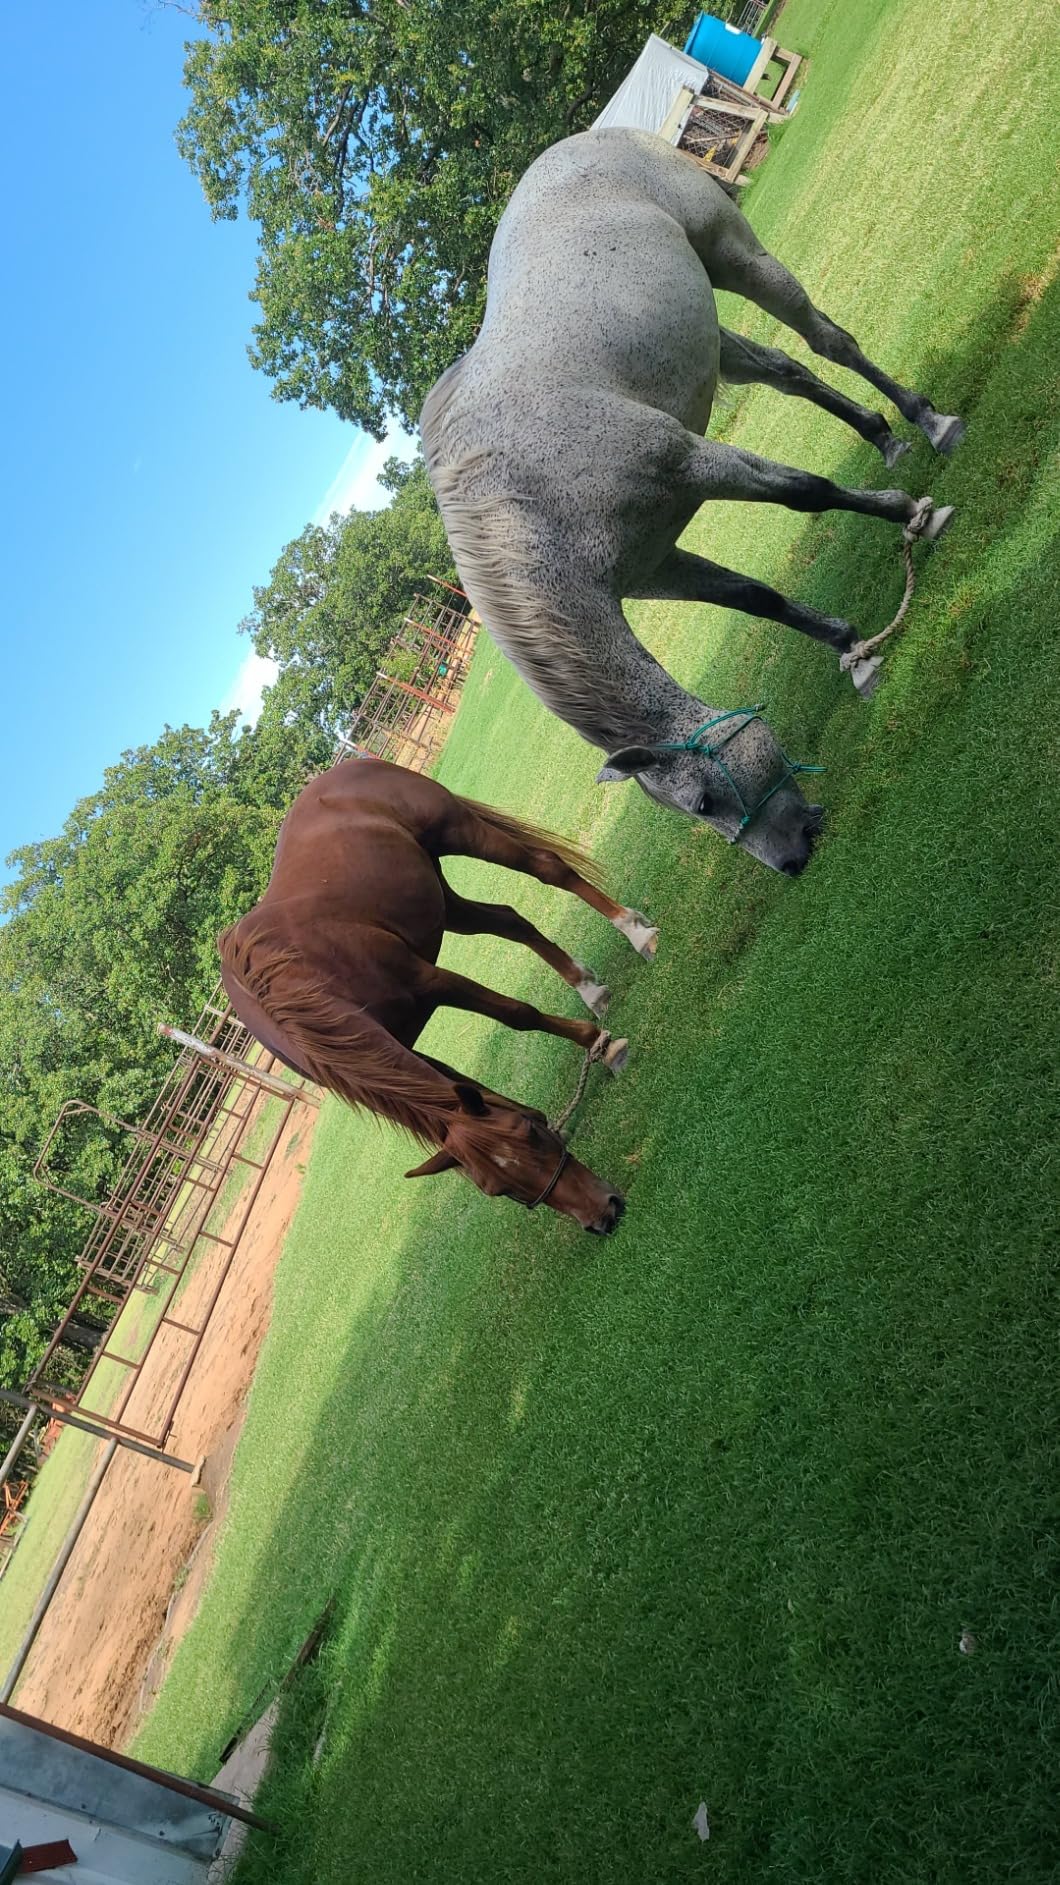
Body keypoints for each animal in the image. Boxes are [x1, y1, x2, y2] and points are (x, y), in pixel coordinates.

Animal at [218, 758, 658, 1234]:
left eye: (532, 1134)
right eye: (498, 1189)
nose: (601, 1217)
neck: (299, 983)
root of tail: (352, 765)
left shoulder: (430, 981)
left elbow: (517, 1013)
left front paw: (604, 1045)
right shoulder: (403, 1048)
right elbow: (463, 1083)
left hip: (460, 832)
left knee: (547, 868)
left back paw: (634, 931)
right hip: (438, 898)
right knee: (508, 921)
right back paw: (588, 987)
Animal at [420, 128, 964, 878]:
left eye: (705, 800)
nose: (791, 861)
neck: (528, 507)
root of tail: (590, 139)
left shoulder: (692, 463)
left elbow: (807, 492)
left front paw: (912, 514)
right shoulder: (658, 569)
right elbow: (756, 597)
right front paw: (853, 651)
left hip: (738, 259)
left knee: (827, 341)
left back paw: (928, 420)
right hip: (713, 336)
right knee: (788, 372)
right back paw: (883, 434)